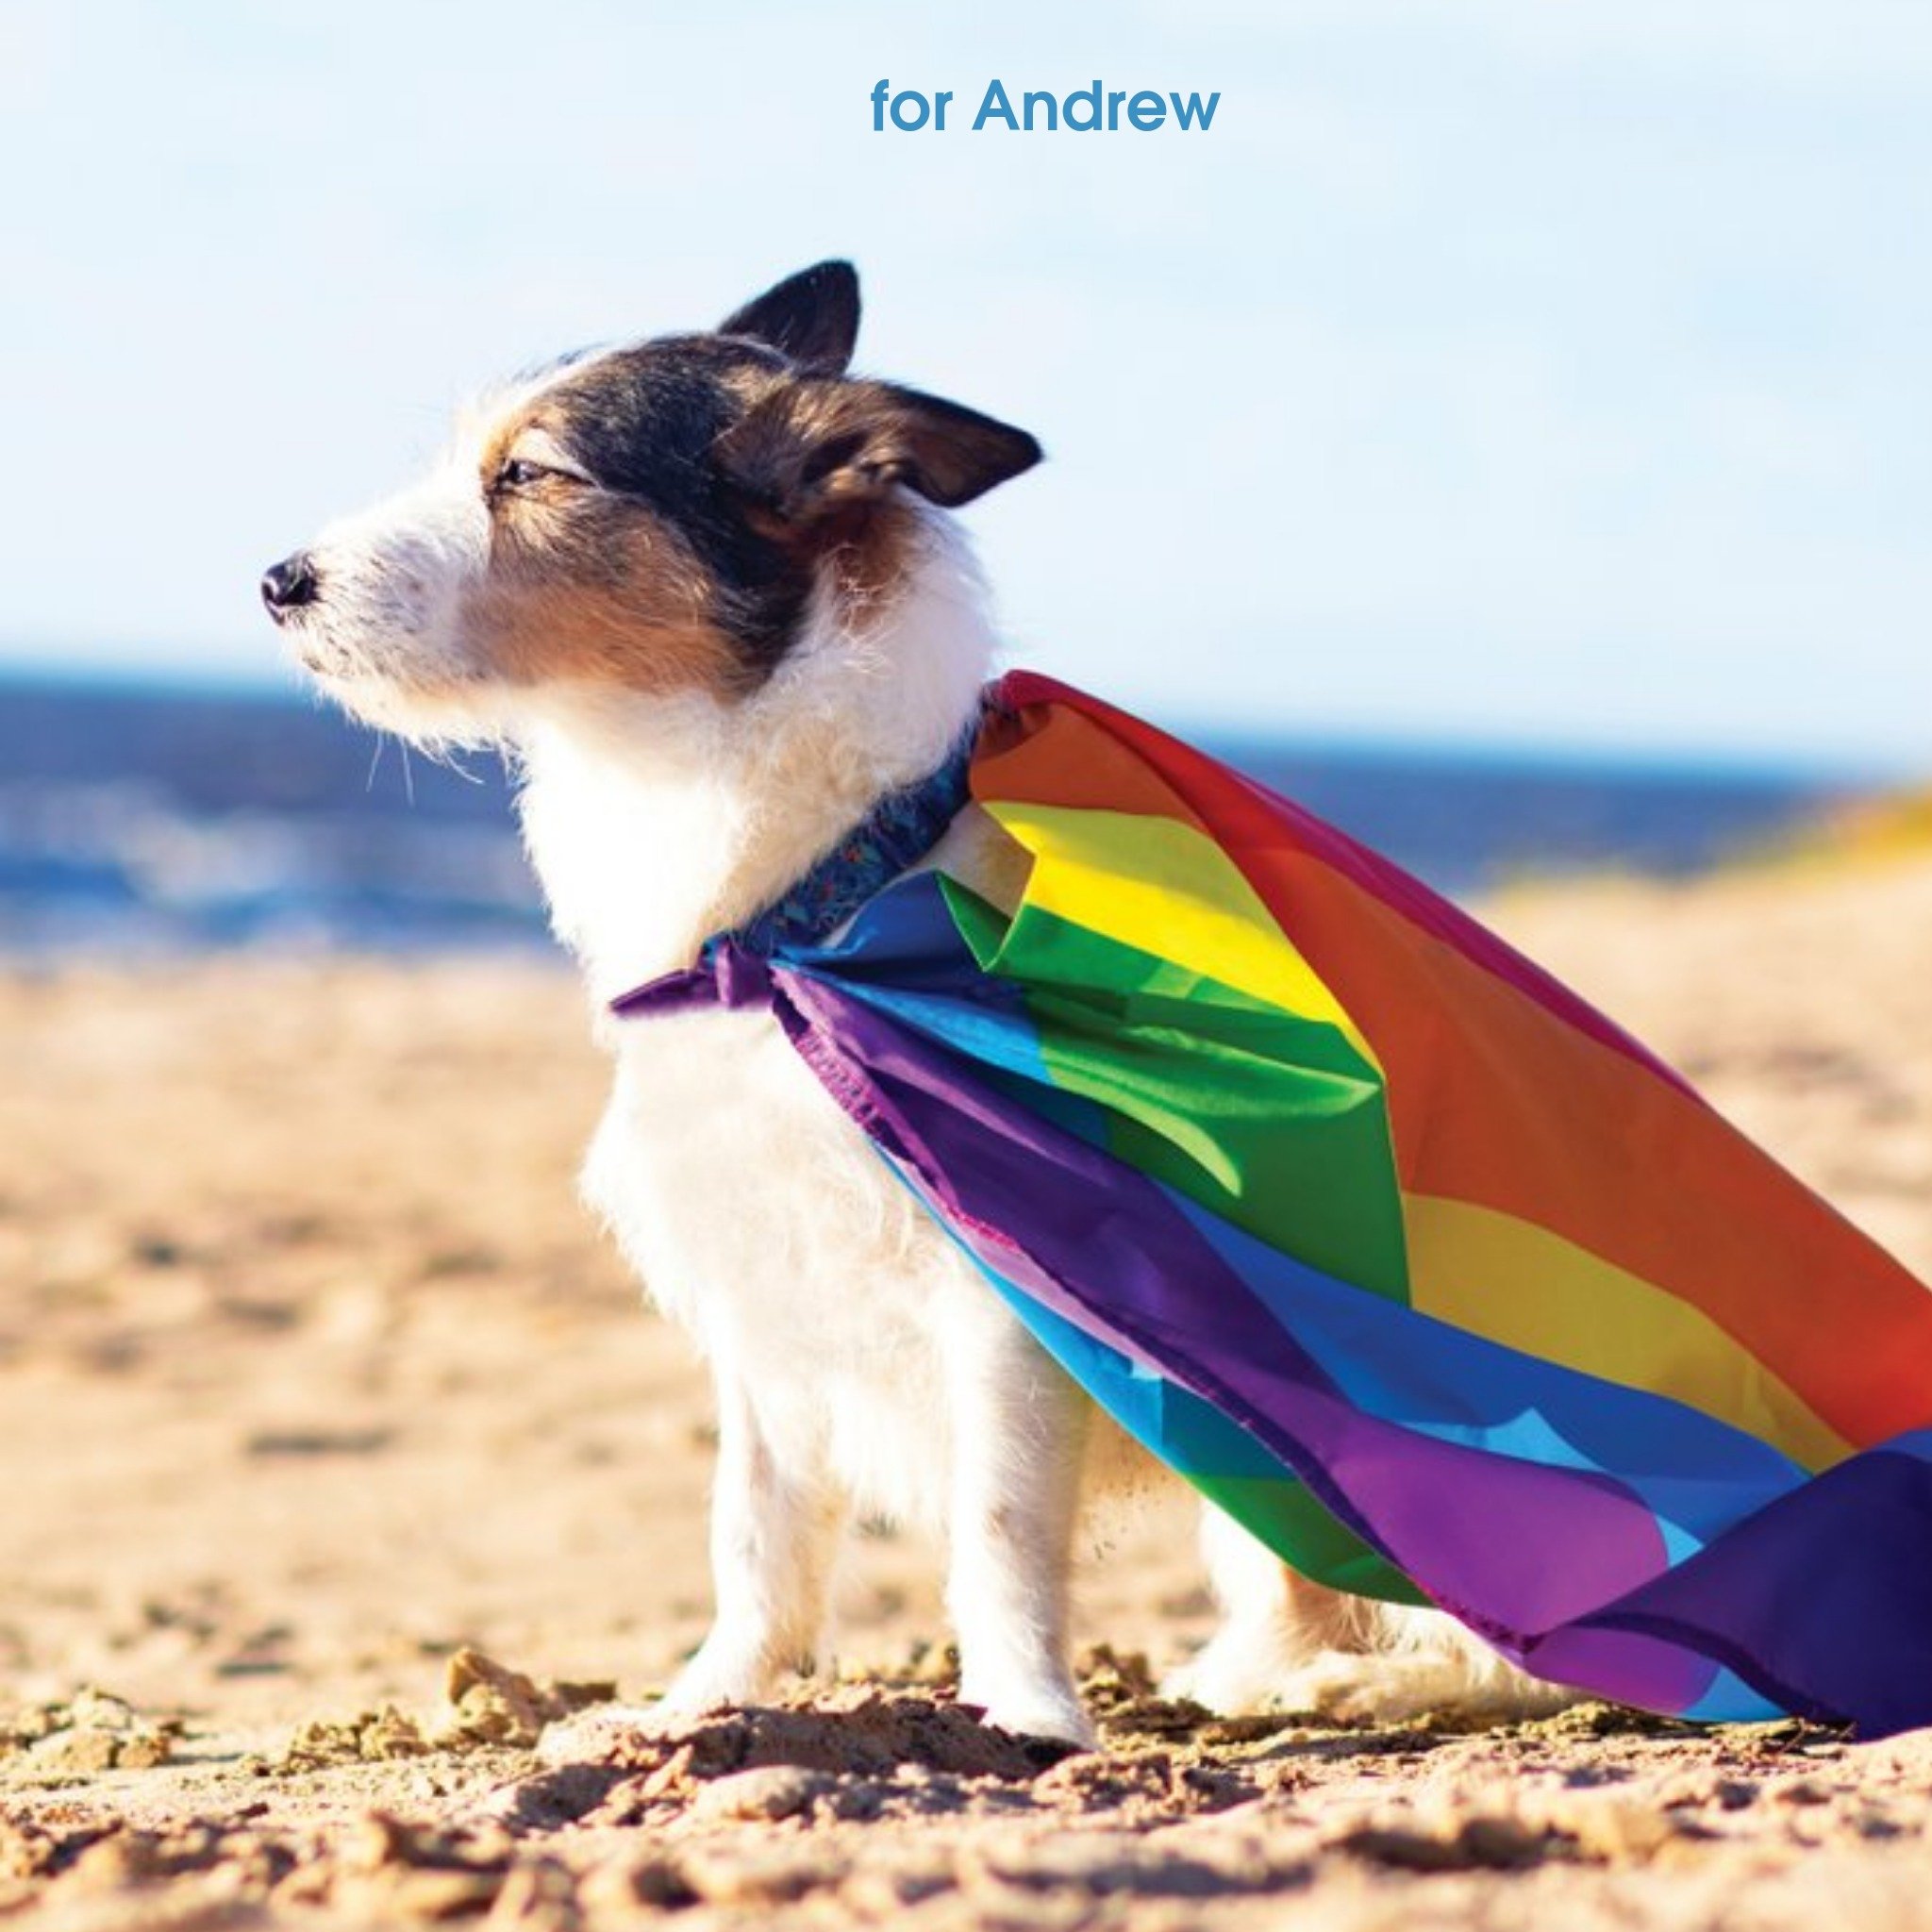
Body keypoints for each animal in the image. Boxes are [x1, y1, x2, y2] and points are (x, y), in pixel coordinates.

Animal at [260, 260, 1553, 1754]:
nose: (277, 581)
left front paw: (1024, 1713)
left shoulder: (1005, 1293)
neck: (819, 908)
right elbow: (754, 1534)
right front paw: (699, 1704)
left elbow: (995, 1526)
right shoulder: (764, 1302)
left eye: (528, 473)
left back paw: (1342, 1683)